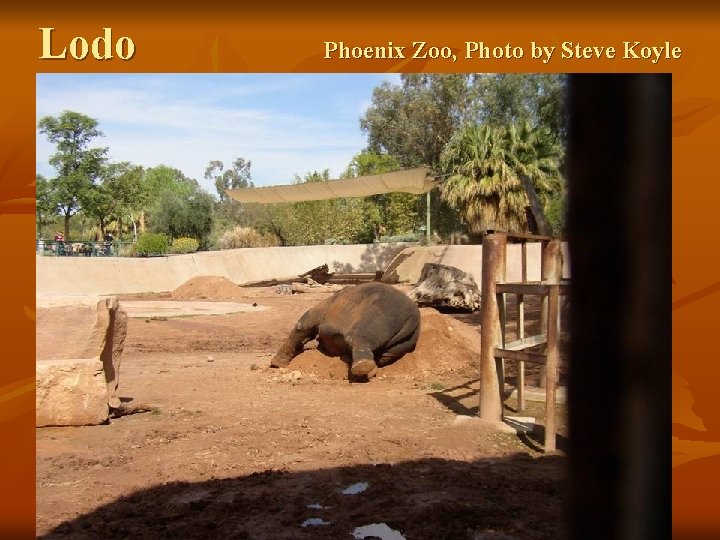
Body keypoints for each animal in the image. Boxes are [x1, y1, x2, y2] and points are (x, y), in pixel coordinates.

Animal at [272, 280, 422, 382]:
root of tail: (412, 315)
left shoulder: (324, 308)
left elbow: (303, 325)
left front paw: (276, 364)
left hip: (379, 315)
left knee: (357, 337)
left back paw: (361, 368)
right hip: (405, 340)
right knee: (385, 356)